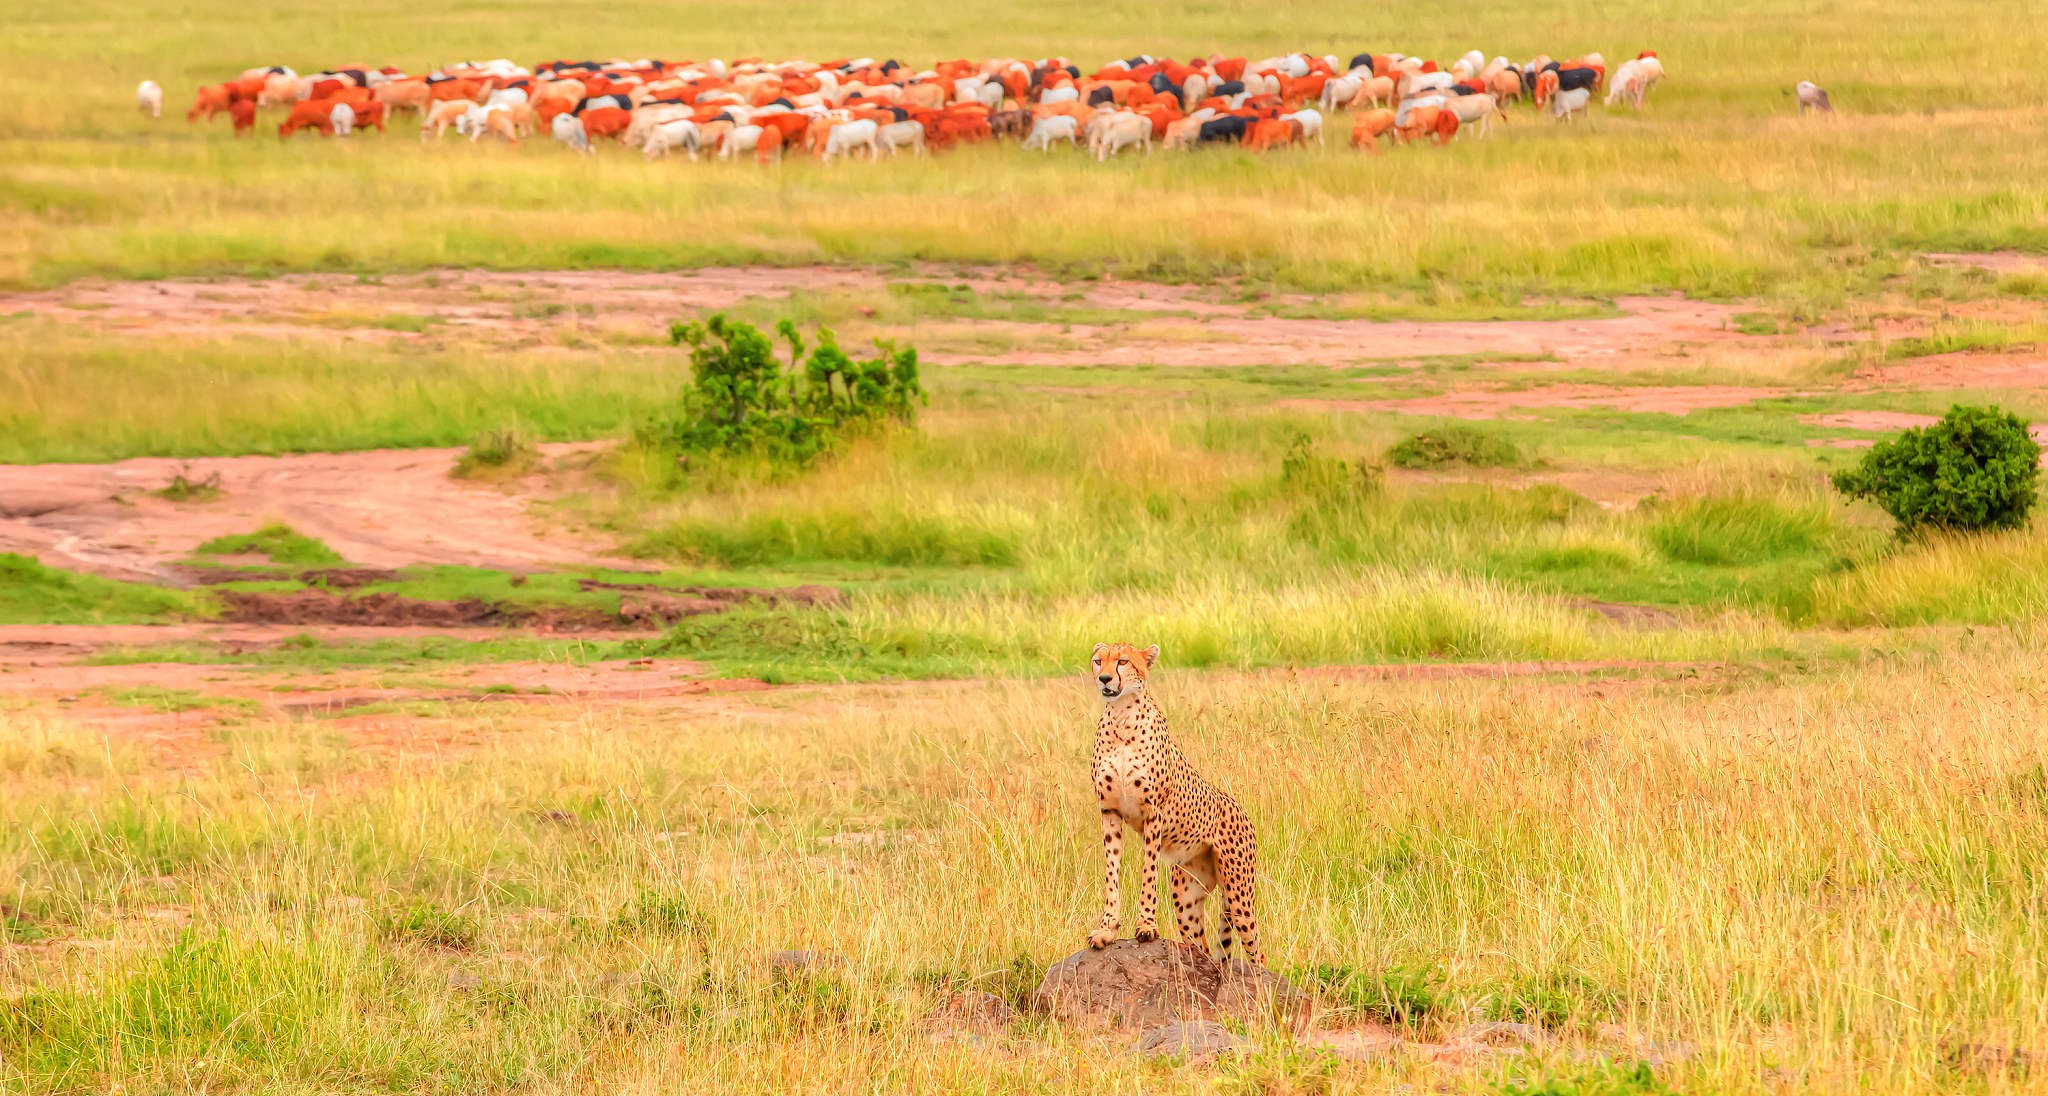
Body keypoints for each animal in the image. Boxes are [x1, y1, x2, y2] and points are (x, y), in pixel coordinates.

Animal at [1085, 641, 1264, 966]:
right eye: (1098, 661)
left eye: (1123, 661)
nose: (1104, 679)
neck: (1120, 718)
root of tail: (1240, 809)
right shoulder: (1109, 811)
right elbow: (1111, 874)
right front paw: (1107, 930)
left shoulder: (1152, 812)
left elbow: (1148, 873)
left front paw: (1146, 926)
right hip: (1187, 898)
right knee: (1201, 947)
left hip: (1238, 895)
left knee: (1258, 951)